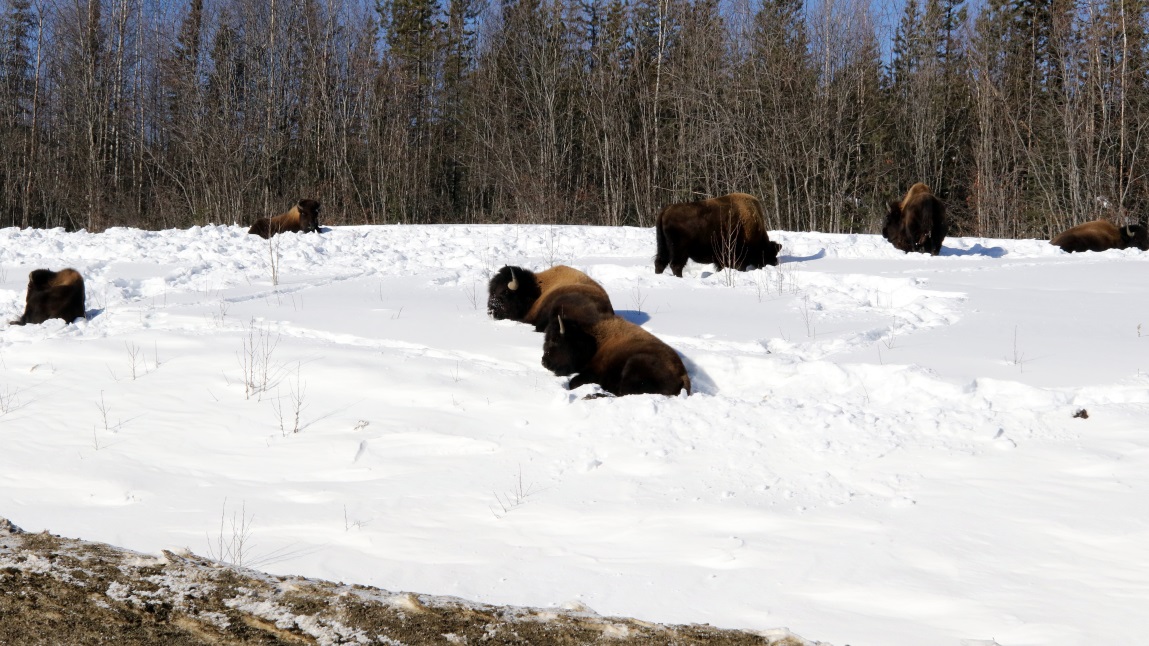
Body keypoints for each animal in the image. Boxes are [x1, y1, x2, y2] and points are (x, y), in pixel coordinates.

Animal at [541, 311, 691, 397]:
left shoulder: (593, 373)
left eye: (555, 339)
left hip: (634, 363)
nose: (544, 362)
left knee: (621, 393)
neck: (592, 338)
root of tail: (683, 375)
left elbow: (572, 382)